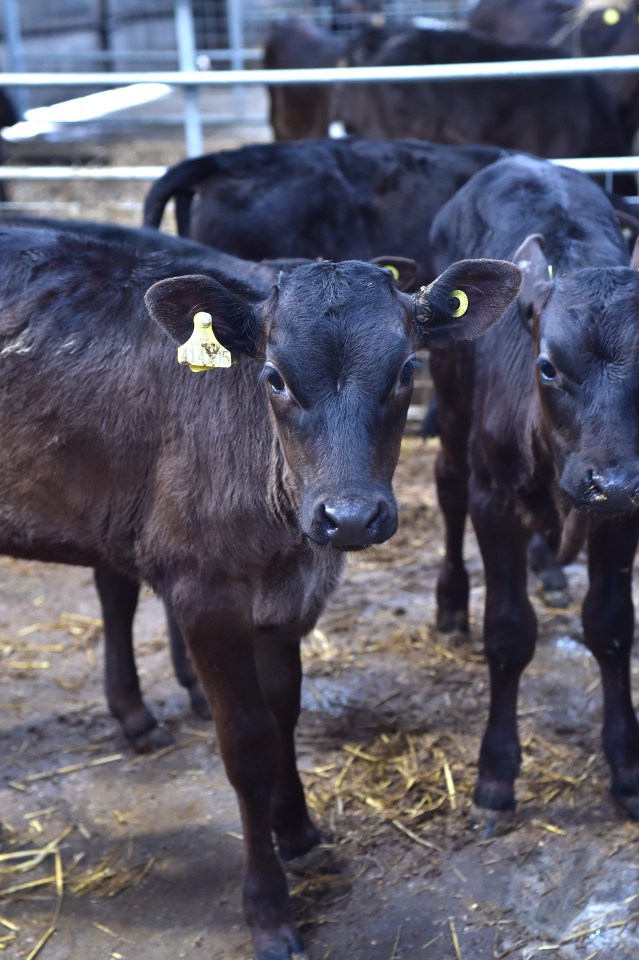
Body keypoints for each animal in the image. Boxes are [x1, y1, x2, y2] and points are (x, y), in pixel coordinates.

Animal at [0, 223, 524, 952]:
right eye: (273, 377)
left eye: (406, 372)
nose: (350, 516)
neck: (284, 535)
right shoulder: (204, 594)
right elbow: (247, 743)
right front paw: (270, 910)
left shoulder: (288, 598)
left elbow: (284, 712)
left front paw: (297, 829)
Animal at [428, 152, 639, 832]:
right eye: (547, 367)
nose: (610, 480)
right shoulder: (494, 501)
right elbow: (508, 632)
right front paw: (495, 774)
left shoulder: (625, 515)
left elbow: (611, 626)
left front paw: (626, 767)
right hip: (450, 404)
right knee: (446, 486)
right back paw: (450, 603)